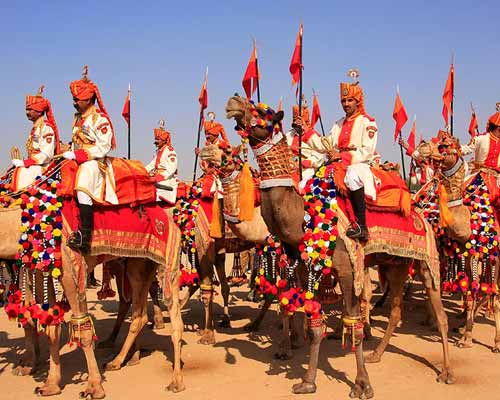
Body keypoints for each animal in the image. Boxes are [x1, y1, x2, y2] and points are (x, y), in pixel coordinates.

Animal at [225, 94, 456, 396]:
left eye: (263, 112)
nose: (234, 101)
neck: (302, 216)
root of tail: (418, 210)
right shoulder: (307, 268)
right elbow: (314, 325)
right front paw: (308, 381)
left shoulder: (348, 269)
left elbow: (353, 324)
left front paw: (362, 384)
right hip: (394, 264)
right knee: (395, 310)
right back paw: (377, 354)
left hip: (426, 260)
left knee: (440, 313)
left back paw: (447, 372)